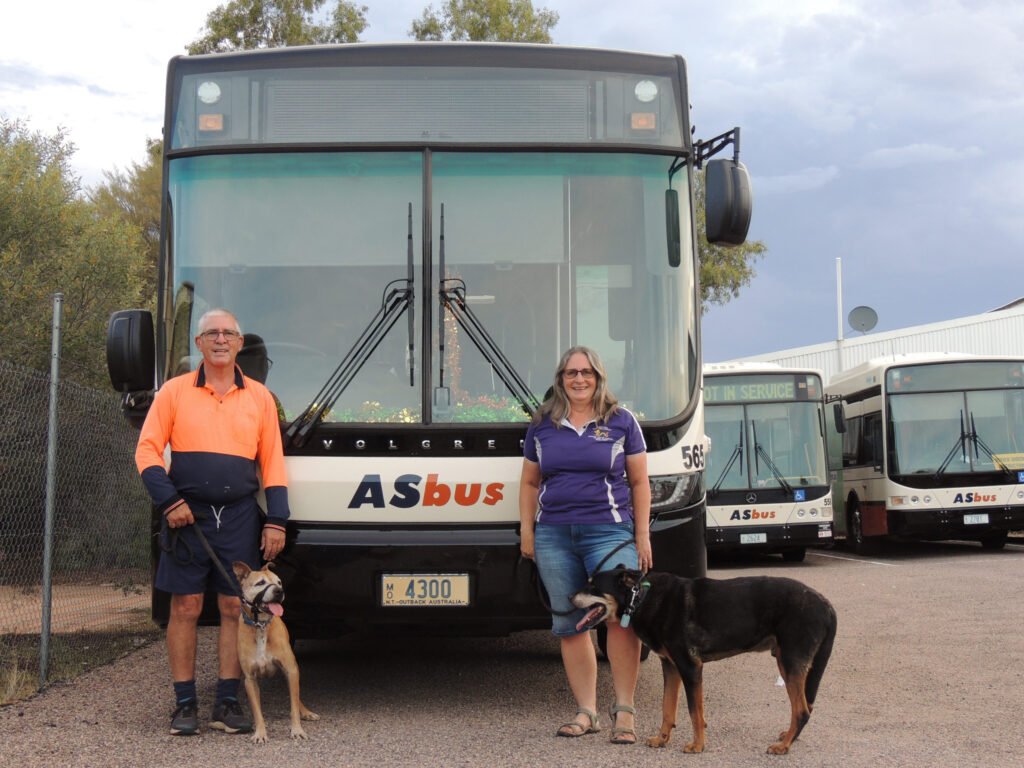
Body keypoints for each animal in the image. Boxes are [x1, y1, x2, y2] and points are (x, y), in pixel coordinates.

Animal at [233, 561, 319, 745]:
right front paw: (260, 733)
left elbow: (293, 705)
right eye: (260, 583)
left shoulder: (291, 670)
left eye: (279, 582)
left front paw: (297, 730)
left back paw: (306, 712)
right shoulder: (250, 679)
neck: (261, 627)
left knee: (296, 696)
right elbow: (257, 711)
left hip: (290, 672)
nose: (279, 591)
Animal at [573, 569, 835, 753]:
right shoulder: (671, 666)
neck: (642, 598)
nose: (568, 597)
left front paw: (698, 746)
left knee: (802, 710)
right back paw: (790, 738)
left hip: (790, 662)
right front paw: (662, 739)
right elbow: (668, 708)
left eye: (593, 585)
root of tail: (826, 605)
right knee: (806, 706)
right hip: (789, 662)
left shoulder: (690, 667)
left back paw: (784, 746)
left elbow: (694, 712)